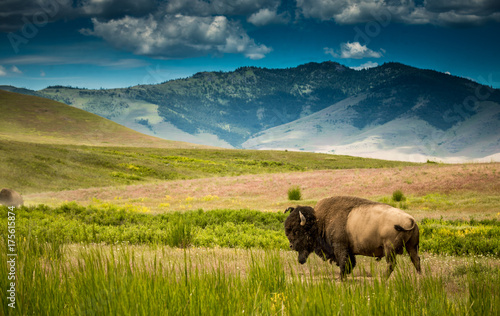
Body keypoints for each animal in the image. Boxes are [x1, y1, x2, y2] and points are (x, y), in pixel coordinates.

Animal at [284, 195, 420, 278]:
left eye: (296, 230)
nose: (291, 246)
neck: (319, 221)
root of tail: (410, 219)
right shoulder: (349, 250)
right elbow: (350, 262)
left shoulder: (340, 246)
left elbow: (343, 262)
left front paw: (341, 277)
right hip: (412, 246)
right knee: (416, 260)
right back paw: (420, 276)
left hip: (389, 249)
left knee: (392, 264)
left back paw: (383, 278)